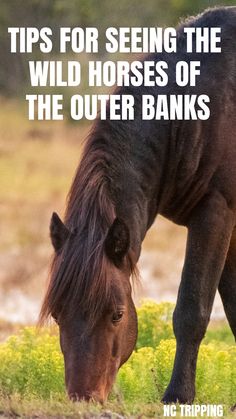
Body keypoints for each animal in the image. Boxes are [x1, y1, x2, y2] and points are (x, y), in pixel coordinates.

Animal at [40, 7, 236, 404]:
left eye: (117, 314)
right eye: (57, 313)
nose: (84, 398)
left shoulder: (216, 213)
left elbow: (192, 308)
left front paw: (178, 395)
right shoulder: (230, 222)